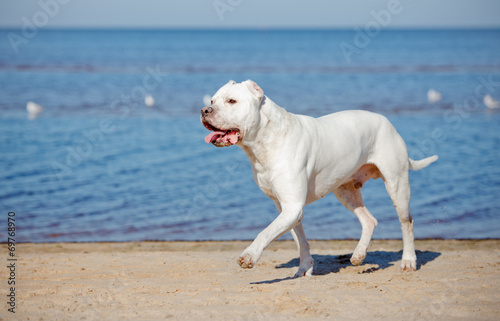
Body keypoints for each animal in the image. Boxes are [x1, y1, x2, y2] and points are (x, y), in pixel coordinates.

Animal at [201, 79, 436, 276]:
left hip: (397, 185)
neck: (266, 141)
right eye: (212, 100)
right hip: (345, 190)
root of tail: (388, 123)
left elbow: (265, 232)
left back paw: (408, 261)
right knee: (369, 220)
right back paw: (359, 255)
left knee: (406, 222)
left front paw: (249, 256)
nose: (204, 110)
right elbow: (300, 240)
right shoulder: (286, 208)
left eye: (232, 101)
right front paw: (304, 268)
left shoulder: (292, 207)